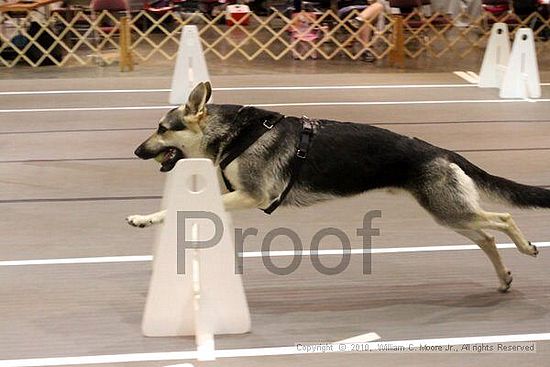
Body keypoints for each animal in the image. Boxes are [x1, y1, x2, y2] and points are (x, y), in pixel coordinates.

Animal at [128, 82, 548, 292]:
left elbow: (175, 208)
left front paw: (146, 218)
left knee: (504, 219)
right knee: (488, 237)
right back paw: (504, 279)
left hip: (450, 211)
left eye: (162, 129)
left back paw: (526, 247)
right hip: (451, 216)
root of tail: (441, 151)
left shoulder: (251, 195)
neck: (233, 134)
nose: (135, 152)